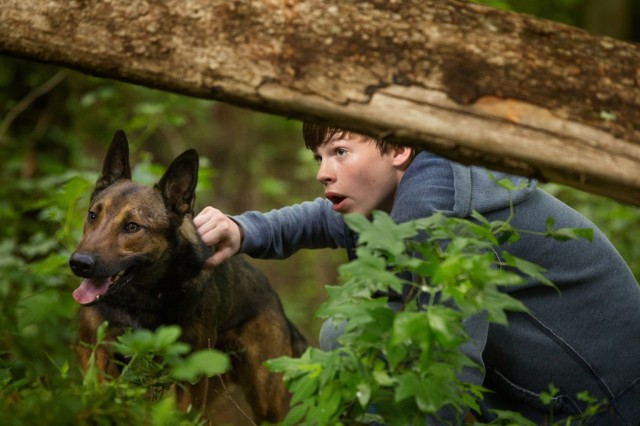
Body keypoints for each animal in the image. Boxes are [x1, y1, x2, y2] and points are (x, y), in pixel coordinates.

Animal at [68, 130, 308, 422]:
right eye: (92, 215)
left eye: (132, 227)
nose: (79, 264)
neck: (143, 298)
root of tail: (277, 304)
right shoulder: (95, 351)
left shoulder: (191, 373)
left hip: (263, 400)